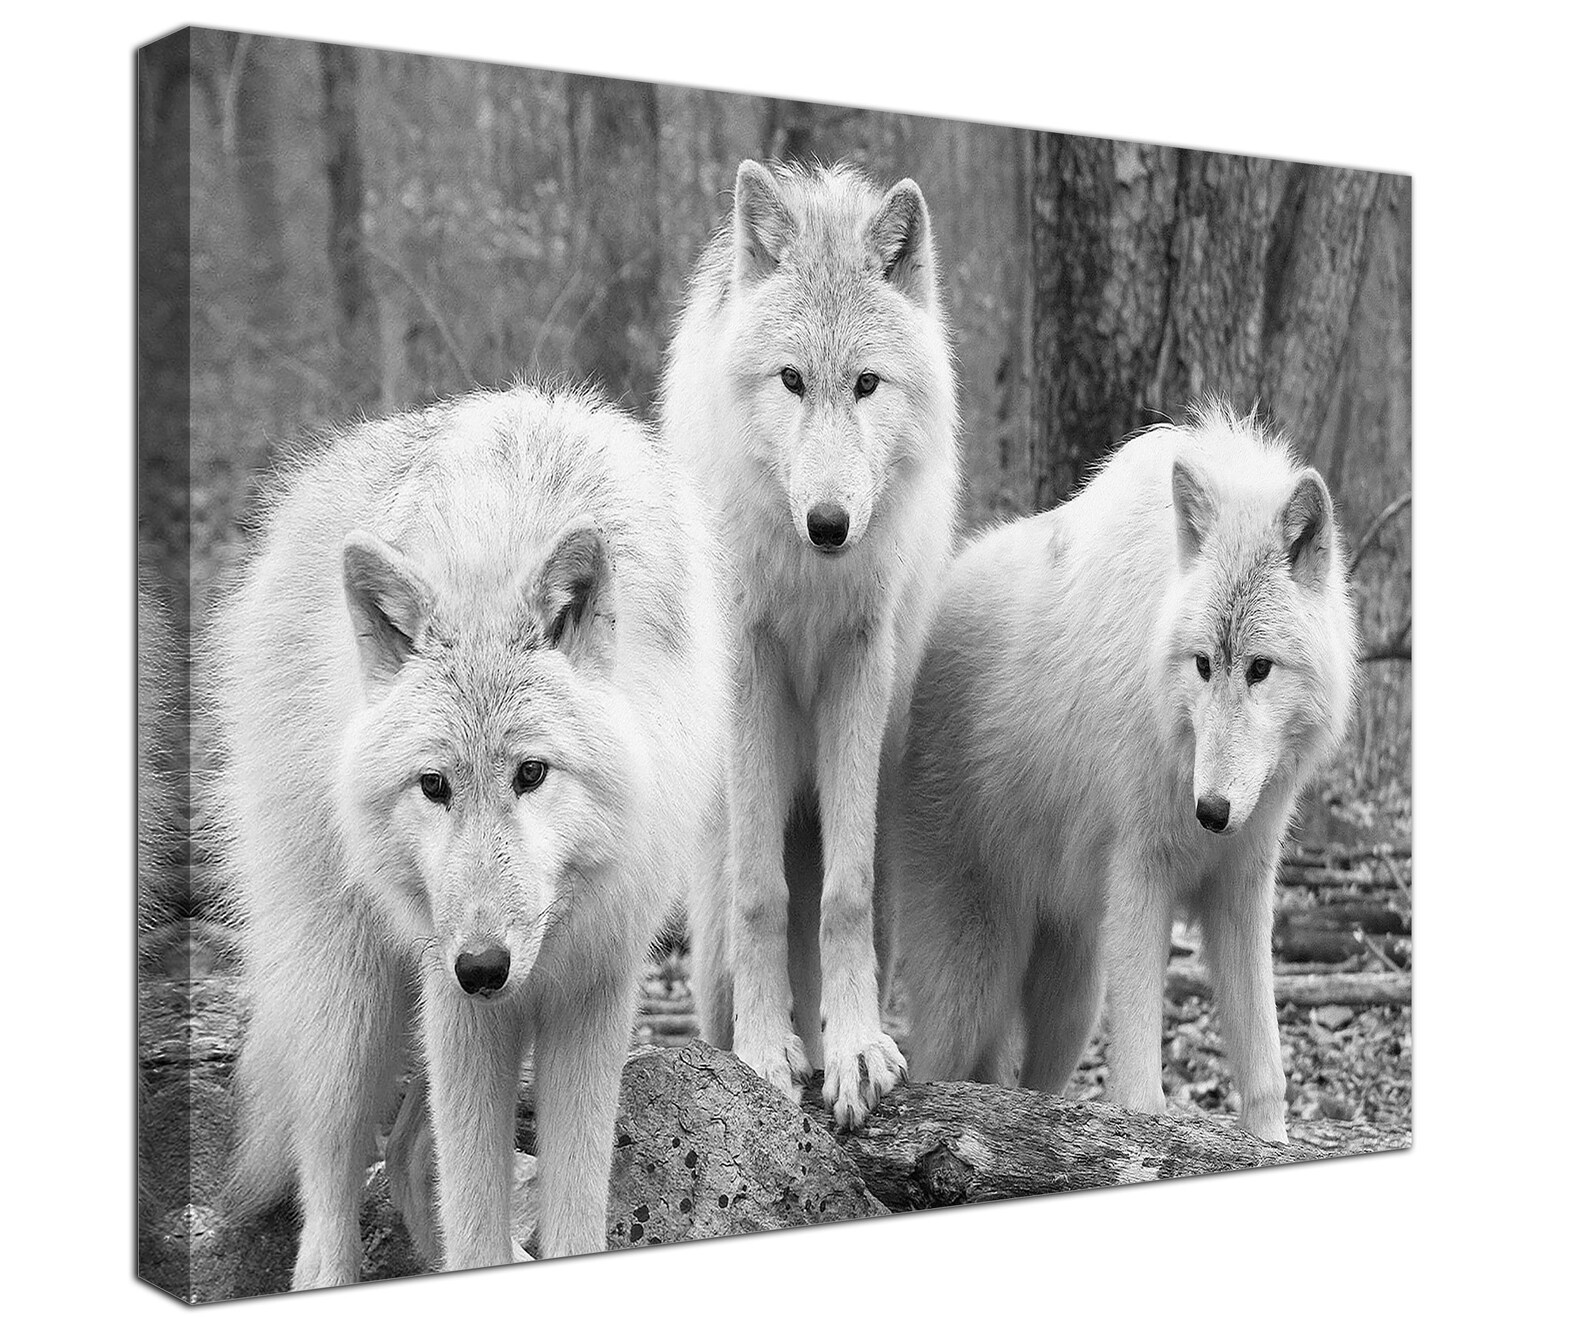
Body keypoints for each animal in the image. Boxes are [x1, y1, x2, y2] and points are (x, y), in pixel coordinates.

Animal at [210, 385, 727, 1288]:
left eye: (531, 773)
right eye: (434, 786)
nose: (483, 966)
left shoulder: (595, 993)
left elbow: (571, 1216)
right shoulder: (460, 1007)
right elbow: (476, 1216)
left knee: (409, 1157)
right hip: (354, 1007)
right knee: (334, 1187)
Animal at [662, 161, 960, 1128]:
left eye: (866, 384)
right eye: (791, 379)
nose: (829, 523)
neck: (807, 576)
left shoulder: (861, 665)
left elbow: (841, 895)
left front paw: (858, 1051)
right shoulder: (751, 663)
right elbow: (765, 895)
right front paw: (764, 1052)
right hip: (711, 891)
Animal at [884, 401, 1356, 1143]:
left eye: (1259, 668)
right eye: (1203, 664)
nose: (1210, 812)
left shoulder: (1242, 885)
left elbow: (1266, 1071)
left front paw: (1271, 1143)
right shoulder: (1141, 874)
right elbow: (1138, 1093)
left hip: (1074, 997)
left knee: (1024, 1085)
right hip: (977, 980)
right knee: (936, 1069)